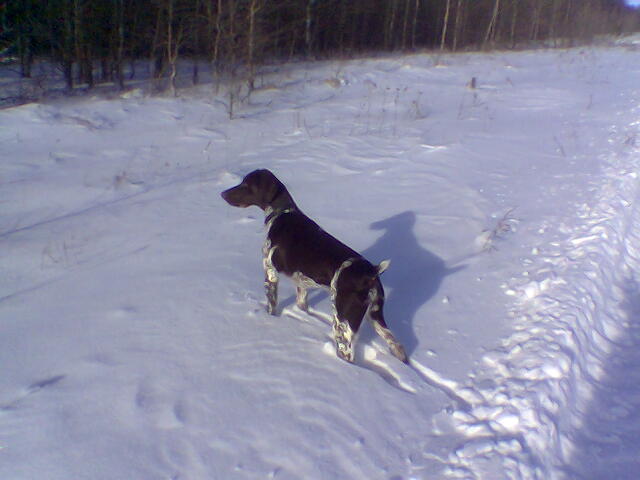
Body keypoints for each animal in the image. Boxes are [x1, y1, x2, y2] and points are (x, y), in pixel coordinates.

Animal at [221, 169, 407, 364]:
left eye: (246, 184)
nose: (222, 194)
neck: (282, 213)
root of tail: (370, 272)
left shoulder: (270, 272)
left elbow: (271, 306)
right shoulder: (301, 284)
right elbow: (302, 304)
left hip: (343, 322)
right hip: (375, 316)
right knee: (398, 346)